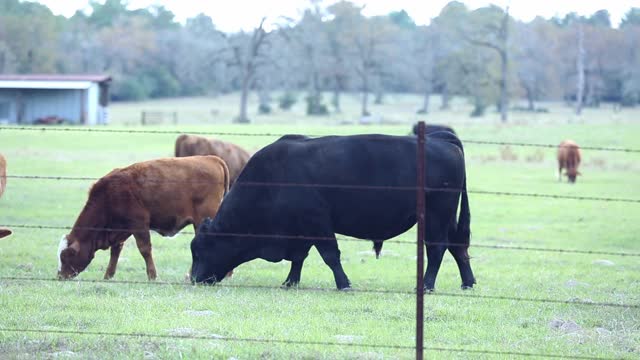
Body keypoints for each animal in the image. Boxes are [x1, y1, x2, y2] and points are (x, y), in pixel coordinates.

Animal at [56, 156, 229, 280]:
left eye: (66, 256)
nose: (60, 276)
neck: (109, 195)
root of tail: (212, 158)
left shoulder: (139, 224)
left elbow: (145, 250)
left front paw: (152, 276)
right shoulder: (121, 229)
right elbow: (115, 251)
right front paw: (108, 275)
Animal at [190, 134, 476, 292]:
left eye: (201, 249)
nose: (194, 278)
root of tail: (444, 142)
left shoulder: (317, 223)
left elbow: (330, 256)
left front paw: (344, 284)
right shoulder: (301, 229)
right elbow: (299, 258)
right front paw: (290, 282)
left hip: (437, 216)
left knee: (437, 249)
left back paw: (426, 284)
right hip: (446, 219)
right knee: (458, 247)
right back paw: (467, 282)